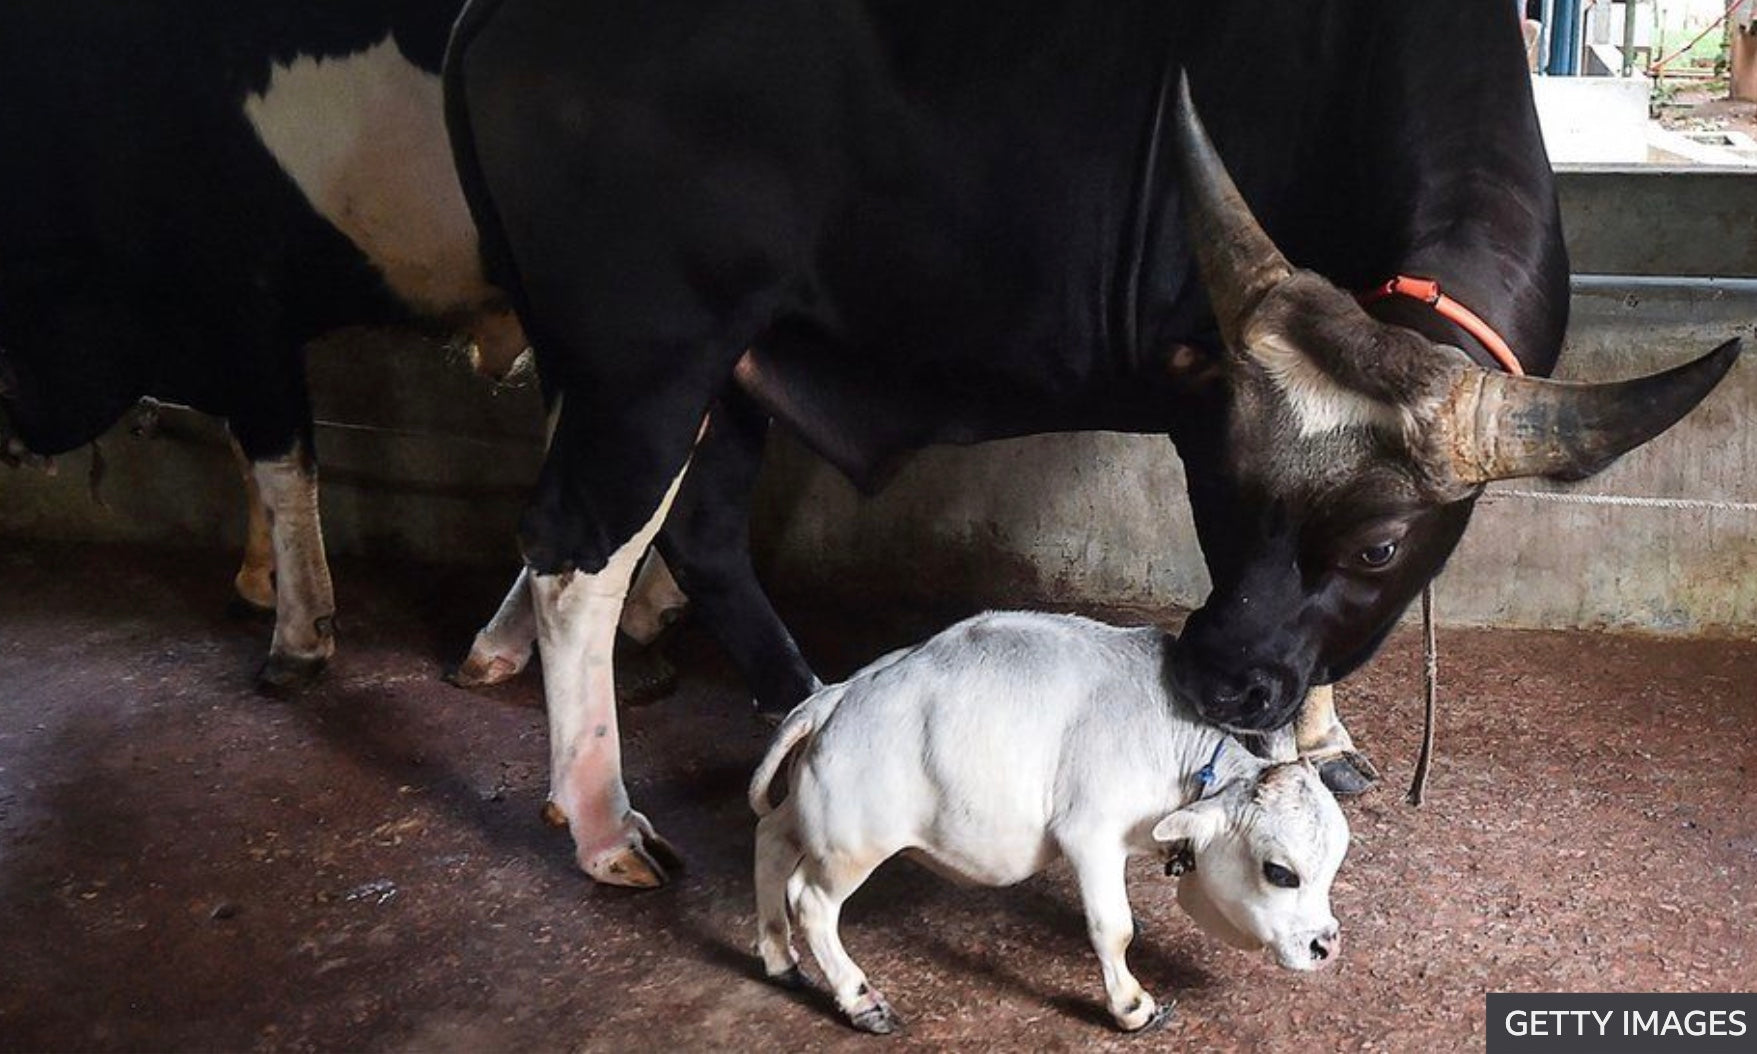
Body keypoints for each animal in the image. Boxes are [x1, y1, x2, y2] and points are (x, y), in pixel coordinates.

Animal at [443, 0, 1739, 890]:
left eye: (1377, 547)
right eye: (1217, 498)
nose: (1214, 680)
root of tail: (499, 14)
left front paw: (1322, 728)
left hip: (725, 367)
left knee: (698, 536)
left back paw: (795, 696)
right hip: (650, 361)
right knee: (578, 552)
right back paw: (602, 818)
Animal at [748, 610, 1350, 1033]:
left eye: (1331, 870)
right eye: (1280, 872)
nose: (1326, 946)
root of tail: (834, 697)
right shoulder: (1091, 835)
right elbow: (1113, 927)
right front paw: (1131, 1006)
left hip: (807, 816)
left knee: (770, 841)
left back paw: (779, 958)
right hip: (852, 845)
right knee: (811, 902)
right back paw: (861, 1001)